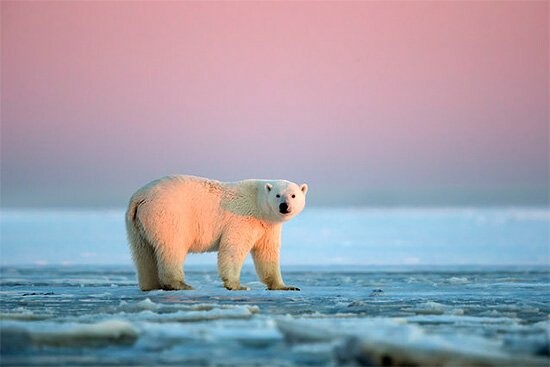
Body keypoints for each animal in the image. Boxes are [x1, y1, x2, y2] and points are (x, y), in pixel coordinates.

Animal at [125, 175, 308, 294]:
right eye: (278, 195)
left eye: (293, 195)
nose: (284, 206)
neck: (258, 203)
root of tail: (139, 197)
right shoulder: (243, 219)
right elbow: (233, 248)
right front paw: (237, 285)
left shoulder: (267, 227)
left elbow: (267, 253)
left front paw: (286, 286)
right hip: (167, 215)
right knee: (172, 247)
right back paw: (180, 284)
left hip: (136, 224)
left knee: (143, 253)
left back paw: (150, 285)